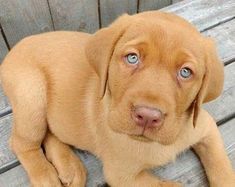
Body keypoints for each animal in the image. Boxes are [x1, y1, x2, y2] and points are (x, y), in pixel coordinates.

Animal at [0, 10, 235, 186]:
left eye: (185, 72)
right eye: (132, 58)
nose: (147, 116)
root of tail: (17, 46)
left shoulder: (207, 128)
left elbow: (222, 167)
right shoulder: (122, 175)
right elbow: (168, 186)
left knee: (50, 131)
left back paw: (69, 167)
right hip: (32, 93)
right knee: (21, 143)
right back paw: (46, 176)